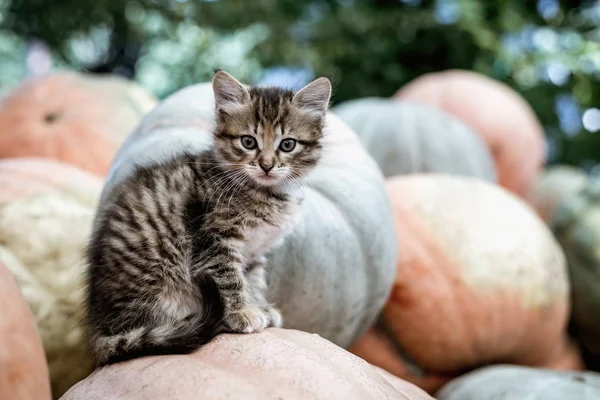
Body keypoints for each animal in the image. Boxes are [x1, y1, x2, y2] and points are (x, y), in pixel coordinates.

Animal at [84, 71, 330, 366]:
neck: (266, 193)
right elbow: (229, 278)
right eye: (248, 142)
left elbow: (253, 280)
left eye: (288, 144)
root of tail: (101, 328)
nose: (267, 165)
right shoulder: (214, 237)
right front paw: (239, 313)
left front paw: (258, 306)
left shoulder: (254, 250)